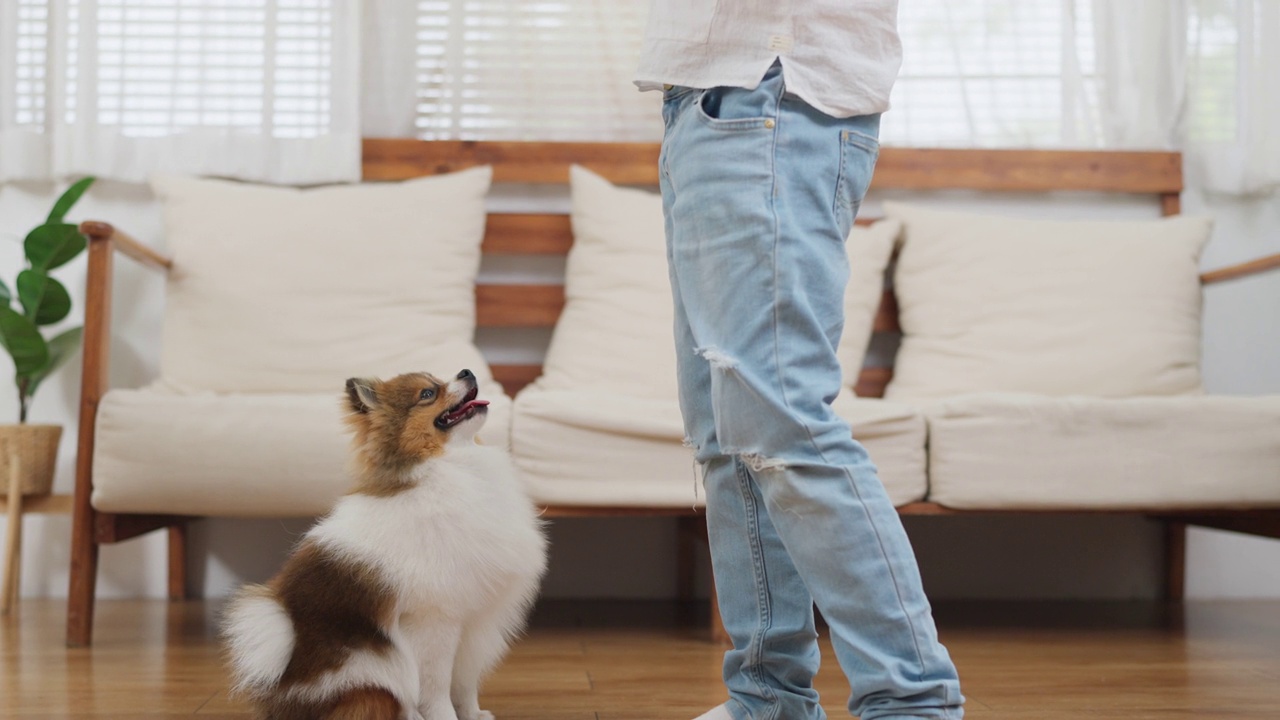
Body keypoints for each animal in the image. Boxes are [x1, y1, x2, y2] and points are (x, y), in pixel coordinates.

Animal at [221, 366, 550, 712]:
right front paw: (444, 715)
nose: (467, 371)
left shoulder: (475, 621)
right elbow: (437, 686)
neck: (451, 466)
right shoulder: (435, 619)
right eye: (428, 393)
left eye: (439, 381)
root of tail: (285, 683)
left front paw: (473, 714)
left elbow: (465, 682)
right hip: (368, 671)